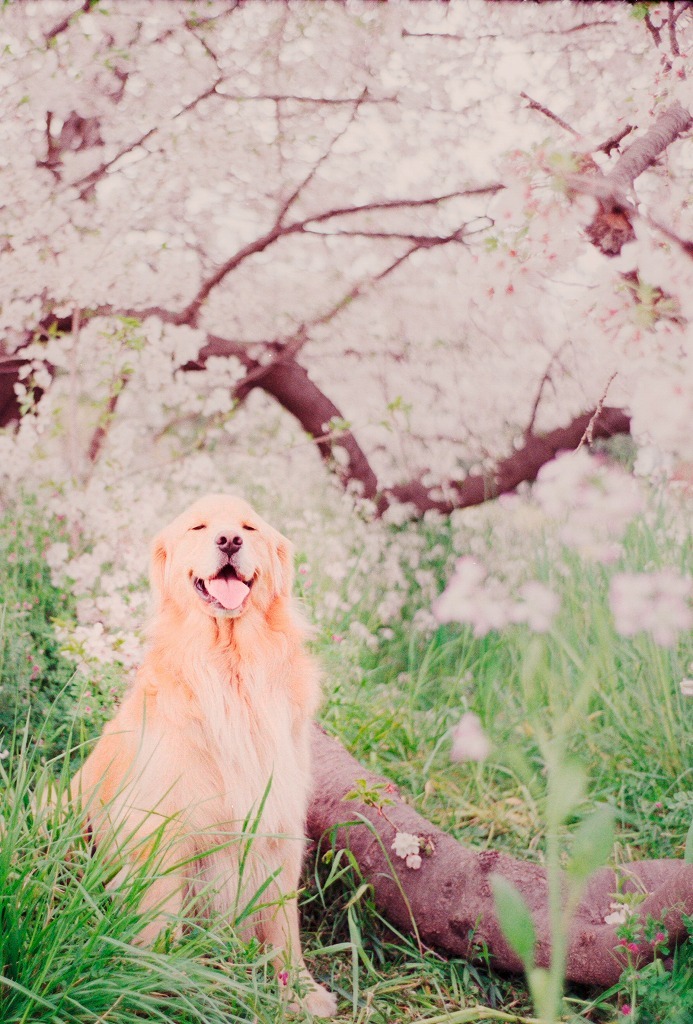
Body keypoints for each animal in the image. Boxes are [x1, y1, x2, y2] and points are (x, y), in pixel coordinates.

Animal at [74, 493, 335, 1015]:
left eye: (249, 528)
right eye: (198, 527)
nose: (229, 540)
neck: (232, 665)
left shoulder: (278, 825)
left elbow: (285, 927)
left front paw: (299, 991)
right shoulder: (162, 831)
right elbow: (160, 923)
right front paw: (155, 988)